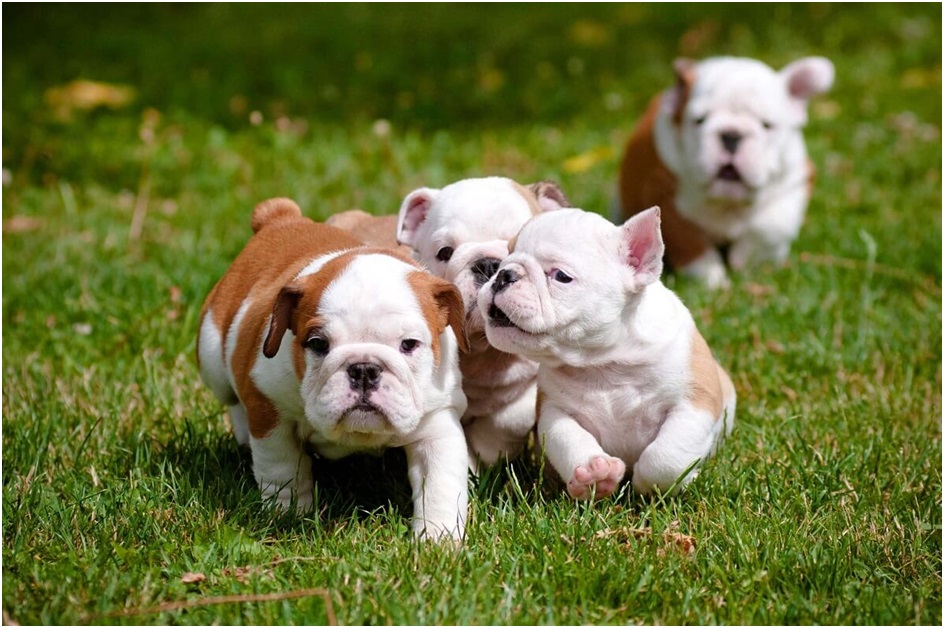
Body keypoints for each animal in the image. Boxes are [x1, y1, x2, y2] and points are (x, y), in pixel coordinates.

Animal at [197, 197, 470, 540]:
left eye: (409, 344)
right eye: (318, 344)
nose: (364, 369)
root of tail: (280, 219)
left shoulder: (437, 422)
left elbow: (439, 484)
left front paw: (438, 538)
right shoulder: (269, 409)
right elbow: (281, 467)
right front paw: (287, 513)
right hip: (212, 357)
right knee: (232, 398)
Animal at [480, 209, 736, 498]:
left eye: (561, 276)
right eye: (504, 259)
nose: (503, 275)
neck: (604, 362)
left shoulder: (694, 402)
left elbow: (666, 456)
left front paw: (650, 484)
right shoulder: (554, 410)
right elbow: (569, 439)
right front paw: (594, 474)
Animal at [620, 55, 832, 288]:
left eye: (767, 125)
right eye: (699, 120)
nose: (731, 135)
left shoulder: (795, 180)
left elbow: (770, 225)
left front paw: (749, 263)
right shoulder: (664, 194)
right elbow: (690, 240)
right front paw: (713, 279)